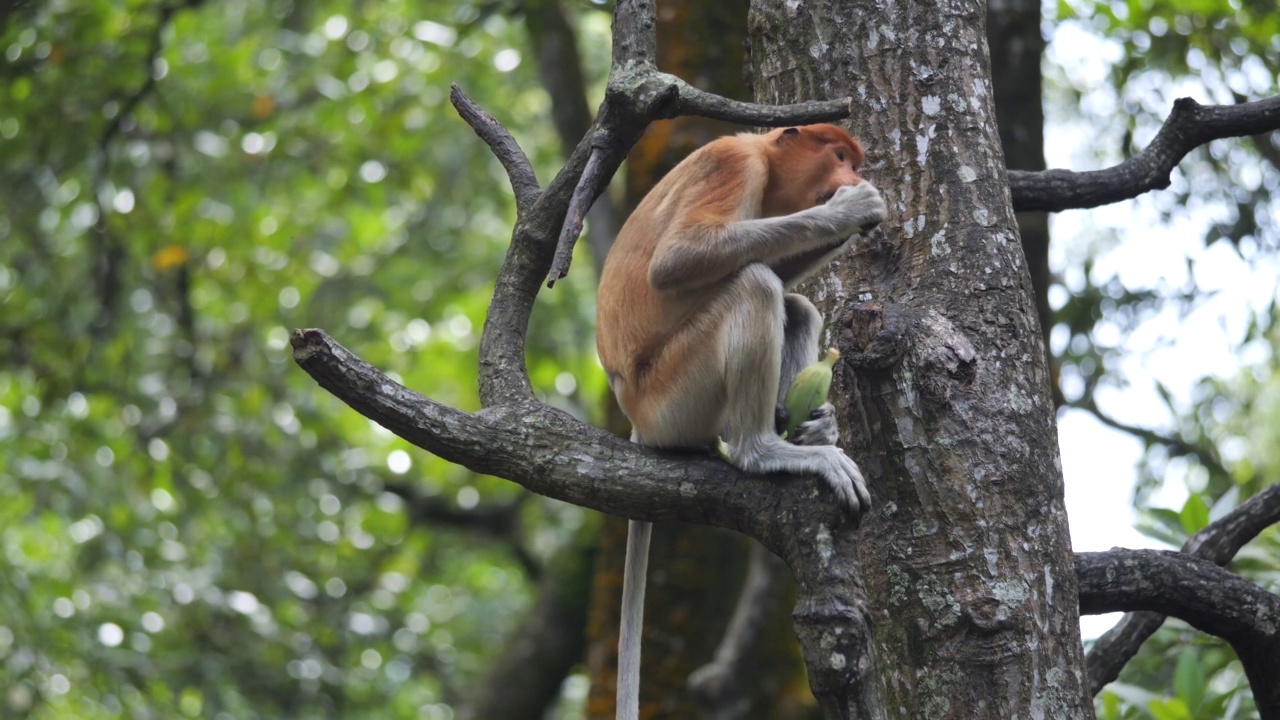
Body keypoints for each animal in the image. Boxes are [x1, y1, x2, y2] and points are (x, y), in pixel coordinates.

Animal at [593, 120, 885, 712]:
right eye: (839, 157)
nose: (852, 177)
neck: (764, 158)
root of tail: (638, 418)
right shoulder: (731, 165)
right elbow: (678, 261)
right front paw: (852, 210)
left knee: (796, 304)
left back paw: (807, 427)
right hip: (675, 397)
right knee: (753, 283)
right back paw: (765, 448)